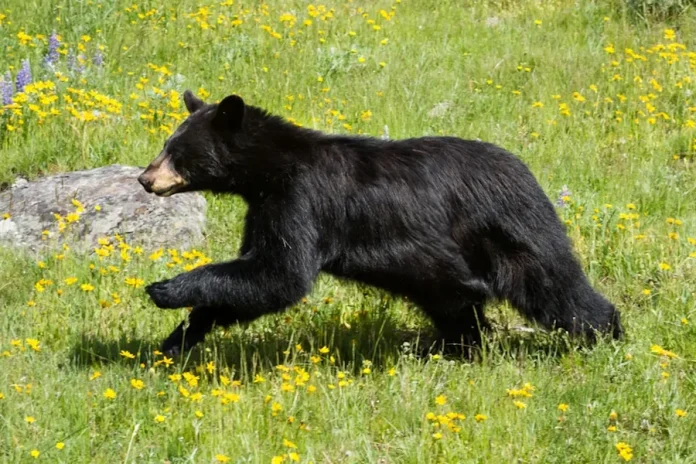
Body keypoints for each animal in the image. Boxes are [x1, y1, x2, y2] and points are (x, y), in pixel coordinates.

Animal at [138, 90, 623, 356]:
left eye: (176, 151)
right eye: (166, 143)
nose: (145, 178)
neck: (272, 170)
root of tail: (527, 172)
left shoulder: (303, 200)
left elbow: (280, 274)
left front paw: (164, 289)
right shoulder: (264, 207)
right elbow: (252, 278)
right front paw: (177, 340)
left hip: (509, 231)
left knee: (554, 284)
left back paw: (607, 333)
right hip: (446, 270)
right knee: (457, 306)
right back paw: (456, 348)